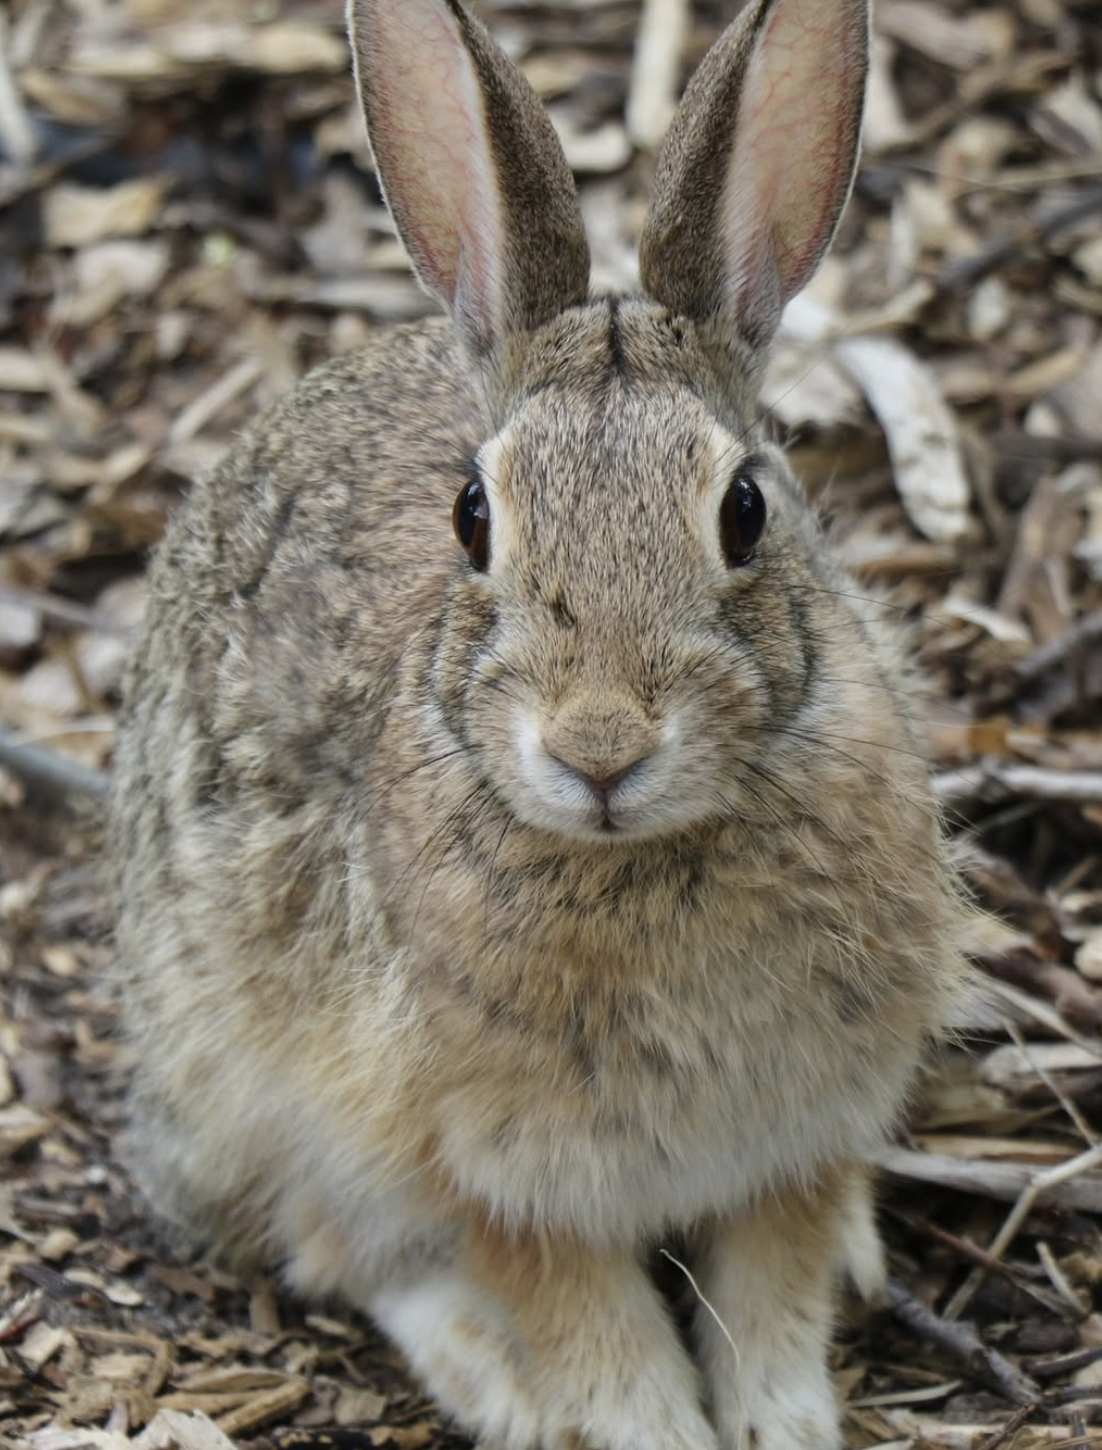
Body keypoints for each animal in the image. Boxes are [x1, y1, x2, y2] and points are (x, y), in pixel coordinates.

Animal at [110, 0, 969, 1446]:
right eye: (471, 517)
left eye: (748, 508)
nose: (599, 750)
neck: (638, 858)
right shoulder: (486, 1164)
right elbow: (588, 1325)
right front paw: (650, 1427)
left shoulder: (793, 1134)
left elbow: (773, 1287)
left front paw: (781, 1417)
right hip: (244, 1075)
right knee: (337, 1247)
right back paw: (493, 1380)